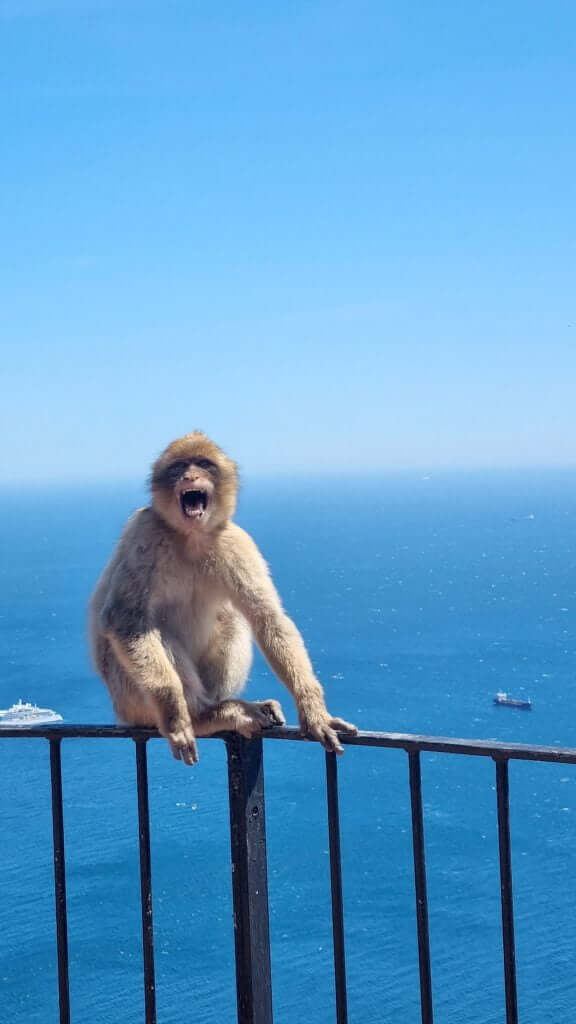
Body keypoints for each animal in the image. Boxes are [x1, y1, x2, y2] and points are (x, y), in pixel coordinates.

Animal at [90, 432, 357, 764]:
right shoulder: (146, 533)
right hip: (131, 701)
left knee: (234, 619)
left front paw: (314, 711)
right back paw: (200, 716)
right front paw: (175, 714)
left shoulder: (236, 542)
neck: (190, 538)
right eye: (179, 467)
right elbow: (124, 619)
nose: (190, 476)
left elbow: (267, 618)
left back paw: (224, 706)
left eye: (204, 464)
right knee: (153, 632)